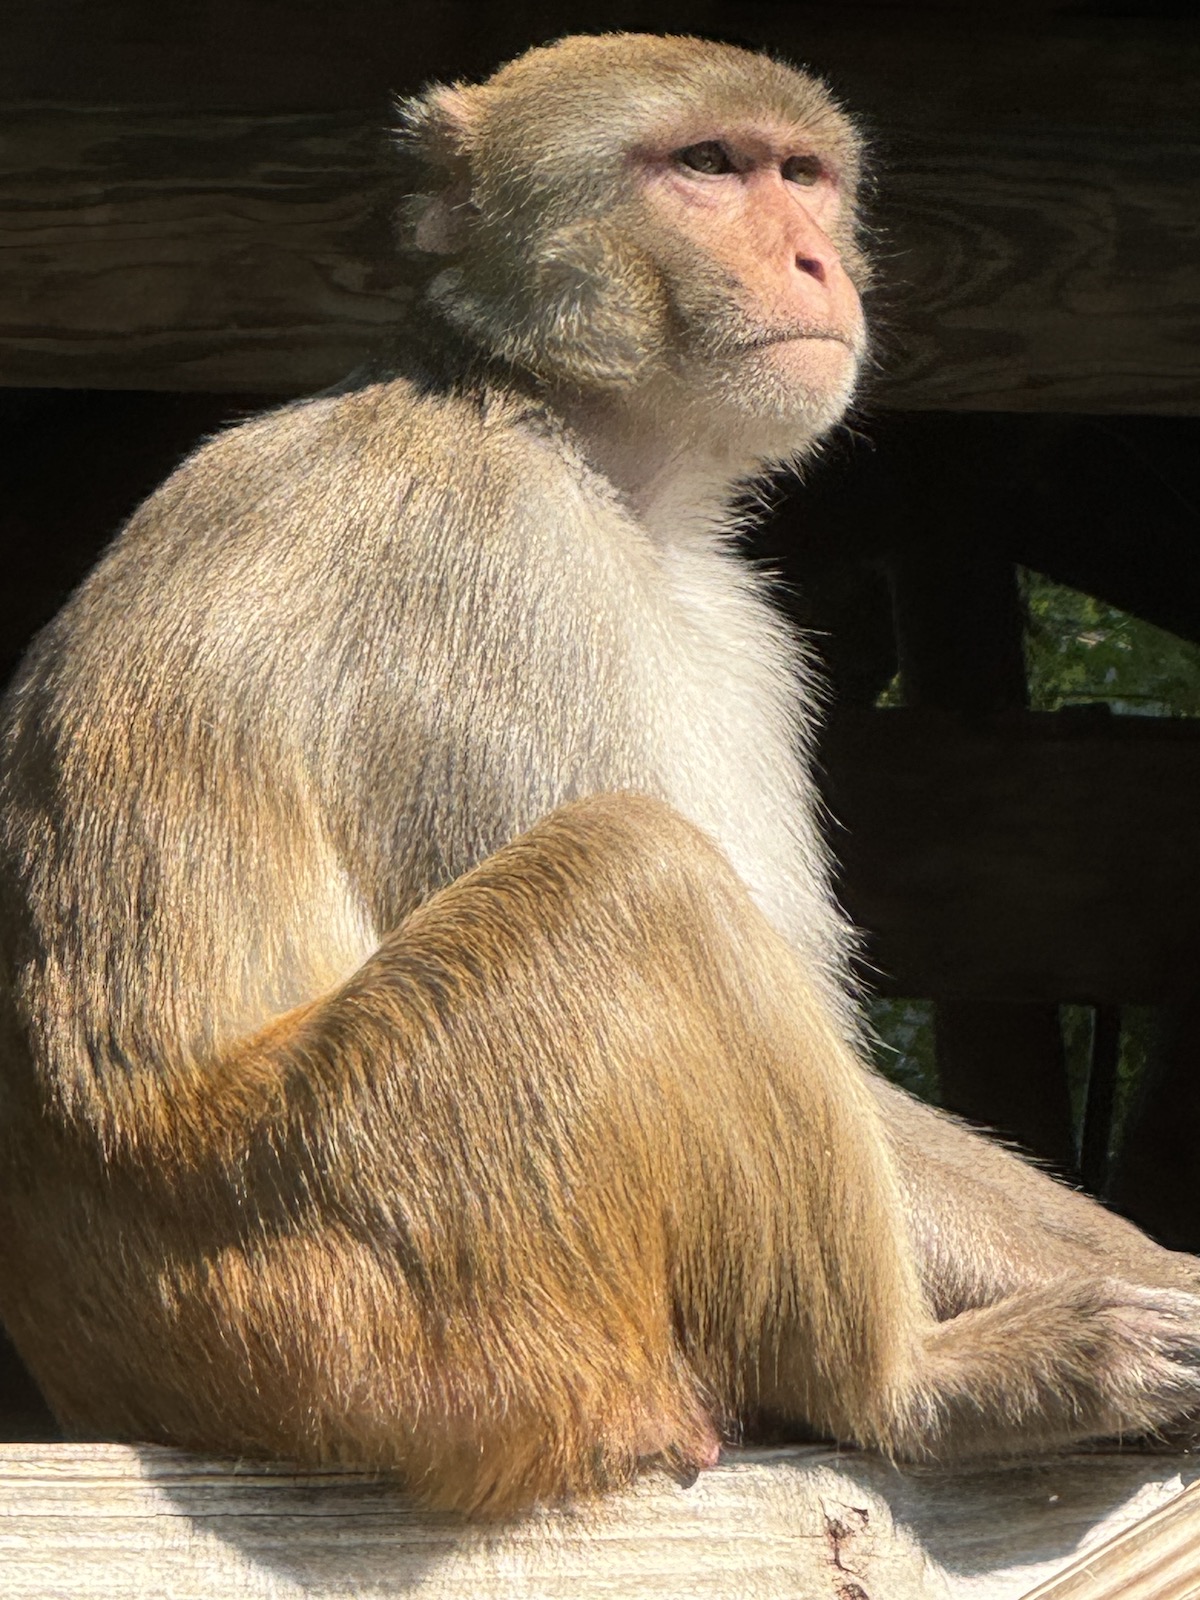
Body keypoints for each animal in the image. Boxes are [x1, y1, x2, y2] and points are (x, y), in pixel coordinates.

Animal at [2, 28, 1200, 1510]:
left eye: (804, 176)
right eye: (709, 166)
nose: (818, 260)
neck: (564, 427)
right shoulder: (501, 569)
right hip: (374, 1277)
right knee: (637, 874)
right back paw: (908, 1388)